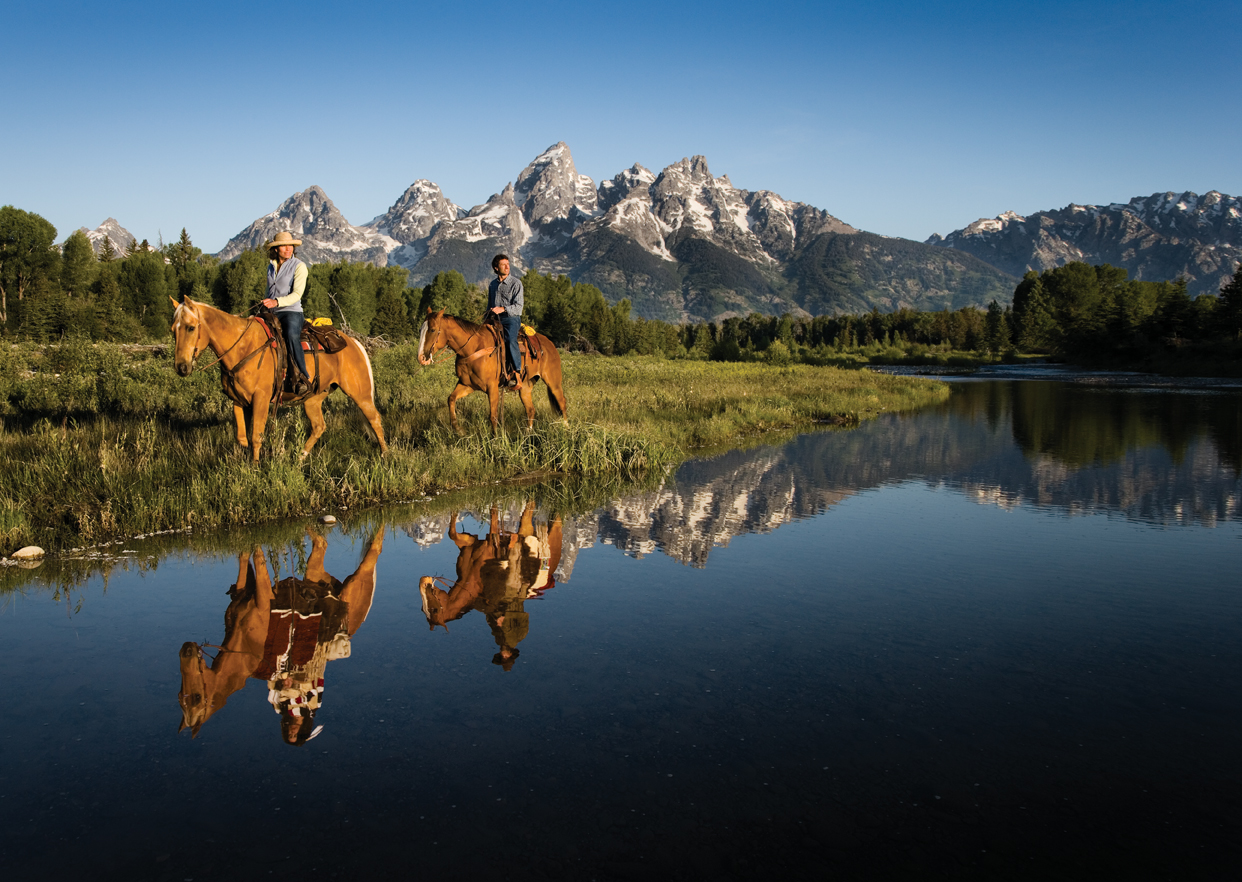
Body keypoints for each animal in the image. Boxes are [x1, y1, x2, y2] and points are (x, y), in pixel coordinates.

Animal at [167, 296, 385, 462]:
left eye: (191, 328)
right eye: (173, 330)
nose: (181, 367)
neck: (242, 347)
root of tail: (352, 341)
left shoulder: (261, 398)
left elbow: (256, 436)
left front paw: (255, 468)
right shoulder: (238, 400)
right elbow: (242, 437)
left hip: (359, 392)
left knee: (374, 418)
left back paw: (385, 454)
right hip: (314, 398)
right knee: (319, 426)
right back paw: (300, 457)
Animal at [173, 529, 377, 740]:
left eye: (197, 697)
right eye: (181, 696)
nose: (185, 649)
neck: (245, 649)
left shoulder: (263, 597)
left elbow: (257, 555)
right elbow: (244, 555)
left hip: (358, 581)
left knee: (372, 552)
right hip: (316, 572)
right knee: (321, 542)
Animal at [419, 310, 568, 434]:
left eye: (432, 330)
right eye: (421, 329)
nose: (421, 358)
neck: (473, 348)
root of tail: (550, 344)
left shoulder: (492, 388)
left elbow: (493, 416)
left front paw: (495, 439)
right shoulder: (467, 385)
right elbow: (451, 398)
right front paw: (457, 429)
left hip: (553, 382)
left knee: (561, 402)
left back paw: (566, 428)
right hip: (525, 386)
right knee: (530, 410)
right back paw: (528, 434)